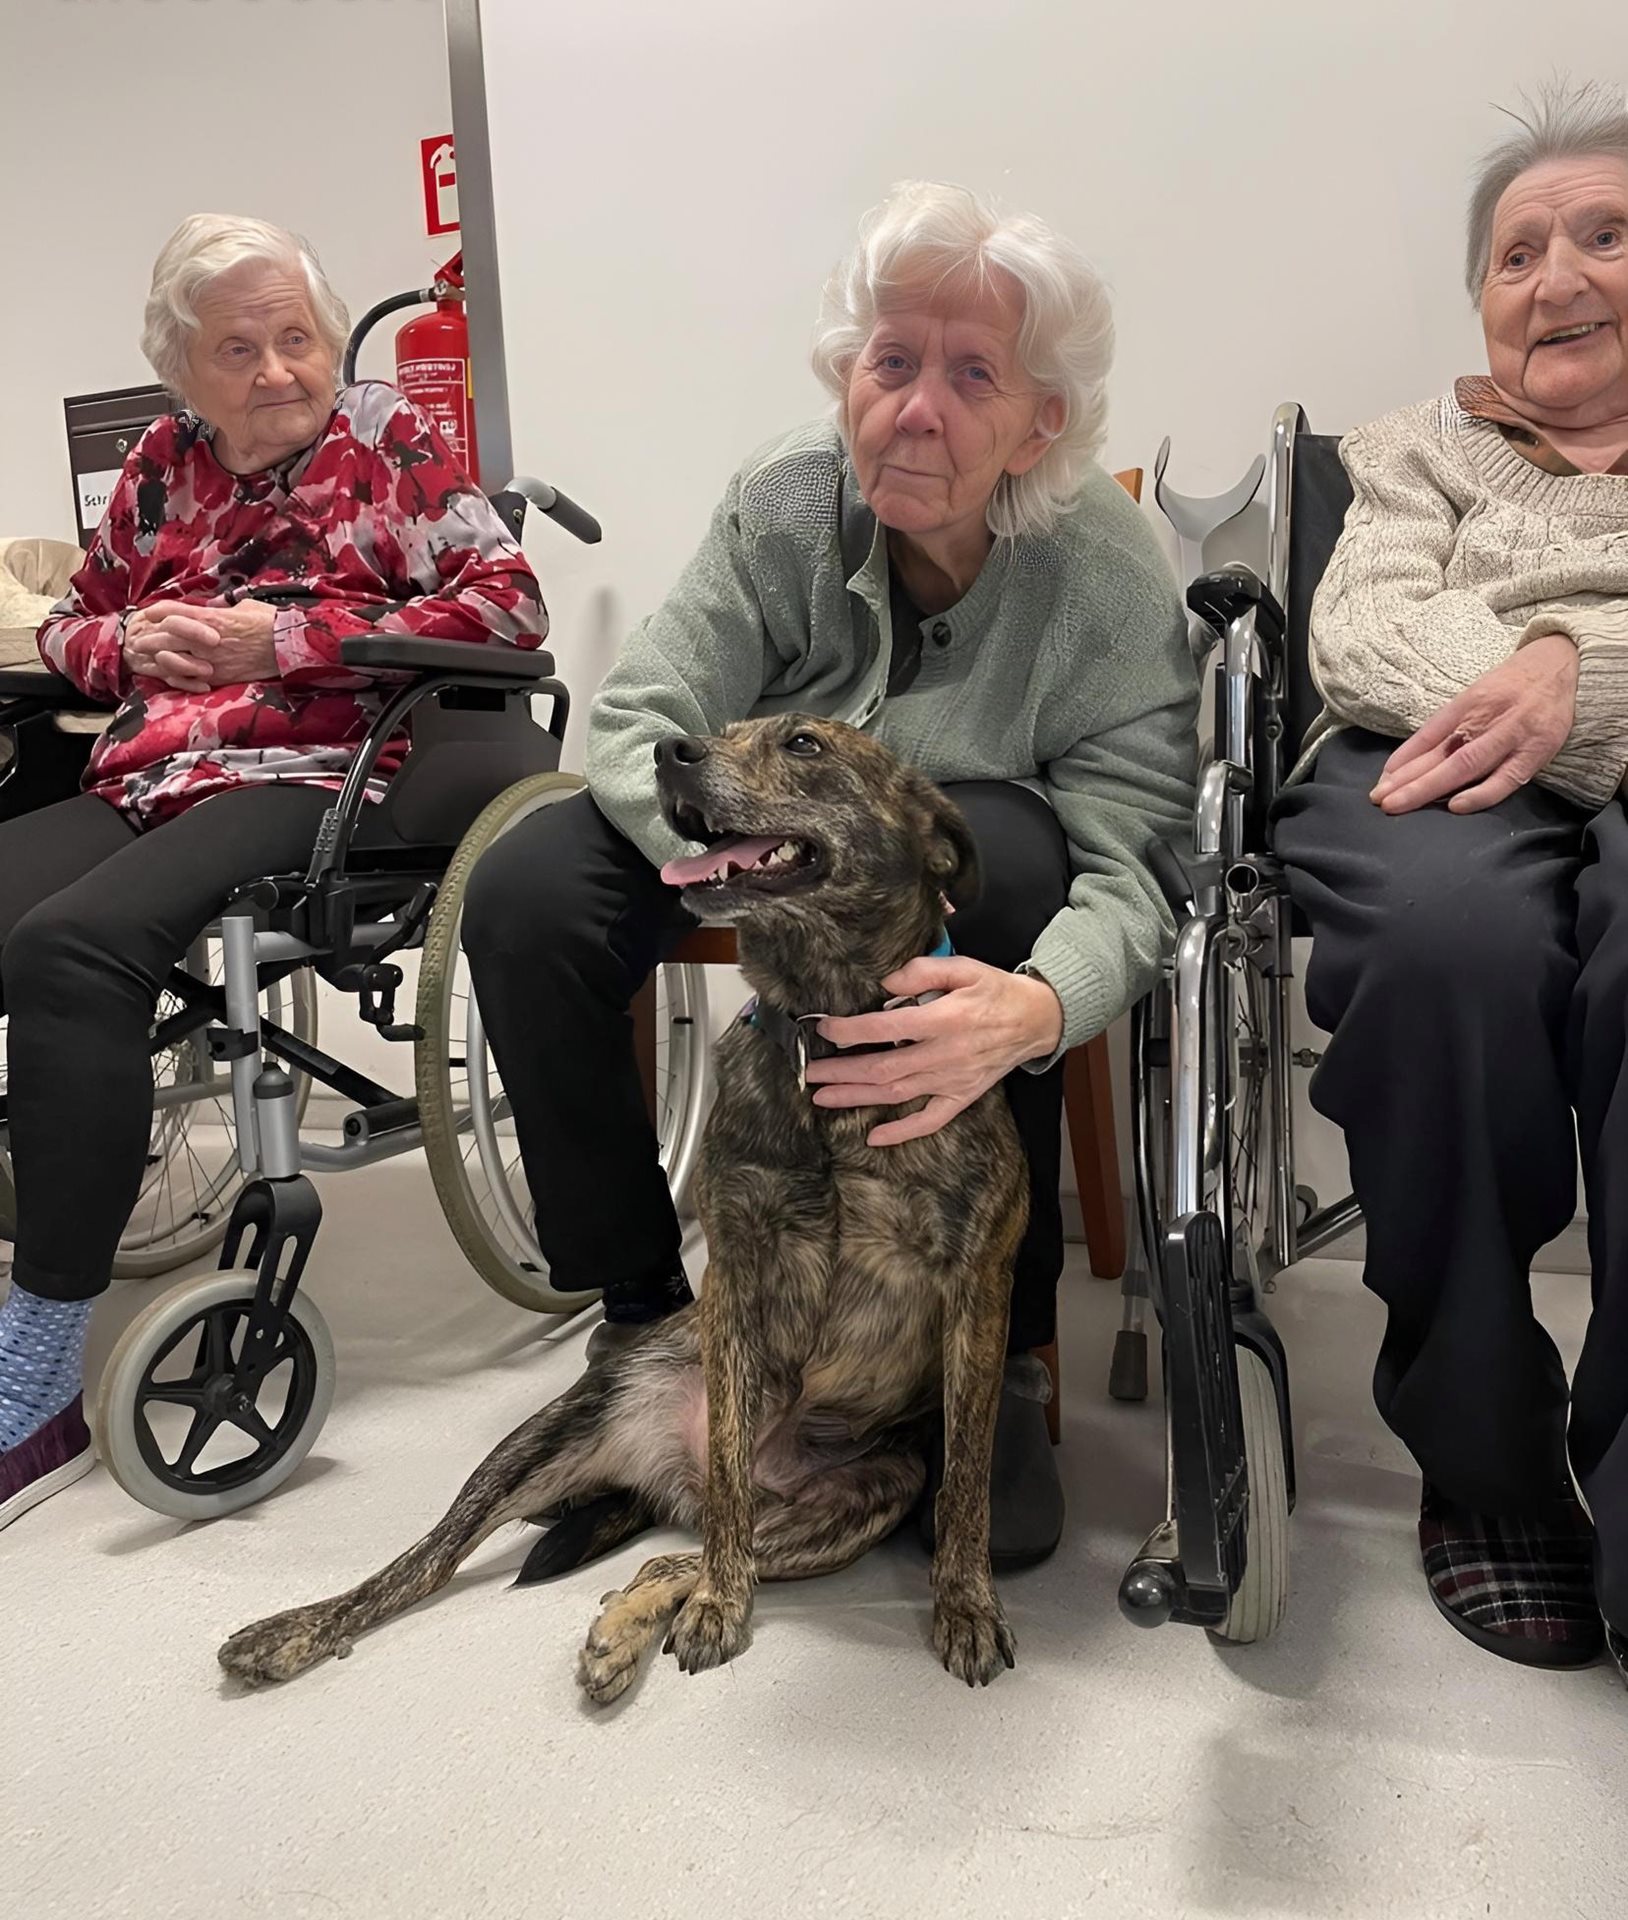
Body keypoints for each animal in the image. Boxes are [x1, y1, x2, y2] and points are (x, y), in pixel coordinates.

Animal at [218, 715, 1028, 1700]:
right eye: (729, 730)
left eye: (804, 743)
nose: (674, 751)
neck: (822, 1030)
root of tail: (669, 1481)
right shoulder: (741, 1271)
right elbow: (725, 1515)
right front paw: (719, 1607)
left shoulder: (976, 1292)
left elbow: (969, 1483)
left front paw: (966, 1604)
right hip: (559, 1431)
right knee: (443, 1558)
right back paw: (299, 1629)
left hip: (864, 1499)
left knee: (677, 1553)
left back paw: (629, 1622)